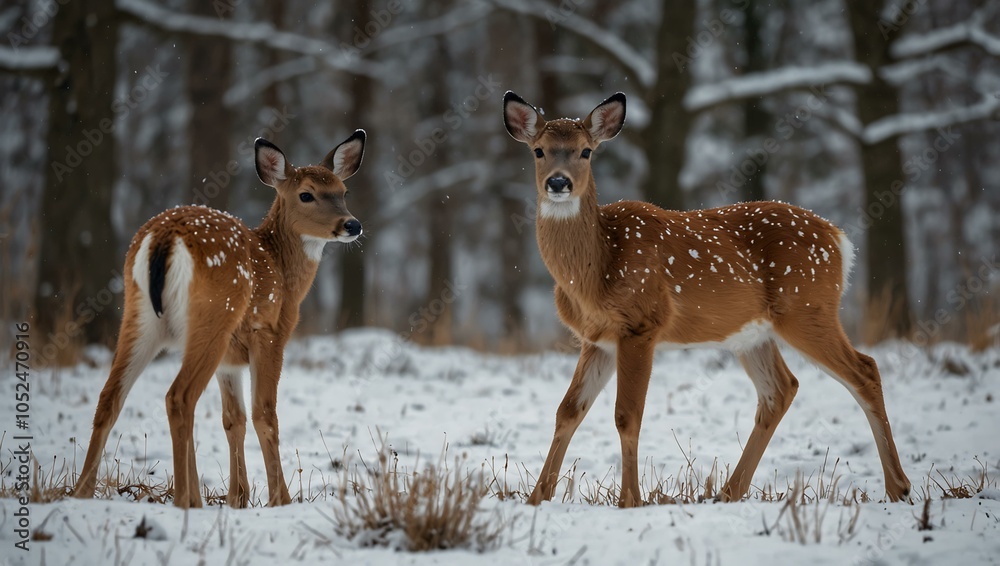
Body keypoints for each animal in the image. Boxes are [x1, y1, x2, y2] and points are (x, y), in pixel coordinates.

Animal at [72, 131, 366, 508]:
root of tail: (166, 234)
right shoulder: (268, 333)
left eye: (344, 191)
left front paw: (237, 497)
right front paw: (280, 499)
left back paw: (84, 493)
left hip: (141, 318)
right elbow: (264, 414)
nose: (352, 224)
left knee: (111, 396)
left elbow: (233, 420)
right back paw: (184, 499)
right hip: (215, 315)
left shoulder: (229, 360)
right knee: (179, 397)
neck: (282, 274)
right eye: (306, 194)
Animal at [502, 91, 911, 508]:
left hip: (807, 309)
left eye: (586, 151)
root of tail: (840, 240)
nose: (558, 182)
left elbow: (626, 415)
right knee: (780, 390)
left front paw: (630, 500)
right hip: (754, 333)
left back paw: (899, 487)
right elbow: (568, 411)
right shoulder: (596, 338)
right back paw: (728, 493)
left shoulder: (641, 323)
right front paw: (536, 498)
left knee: (865, 370)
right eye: (538, 150)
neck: (598, 267)